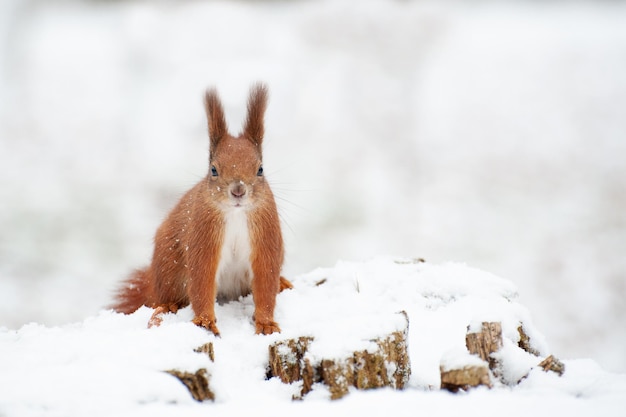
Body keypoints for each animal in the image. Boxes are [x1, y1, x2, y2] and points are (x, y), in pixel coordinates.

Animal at [111, 84, 292, 334]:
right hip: (168, 268)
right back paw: (166, 306)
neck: (236, 214)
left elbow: (266, 282)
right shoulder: (203, 235)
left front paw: (266, 323)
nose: (238, 191)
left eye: (260, 169)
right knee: (165, 297)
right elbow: (201, 280)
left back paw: (283, 283)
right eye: (213, 170)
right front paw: (205, 320)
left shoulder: (266, 236)